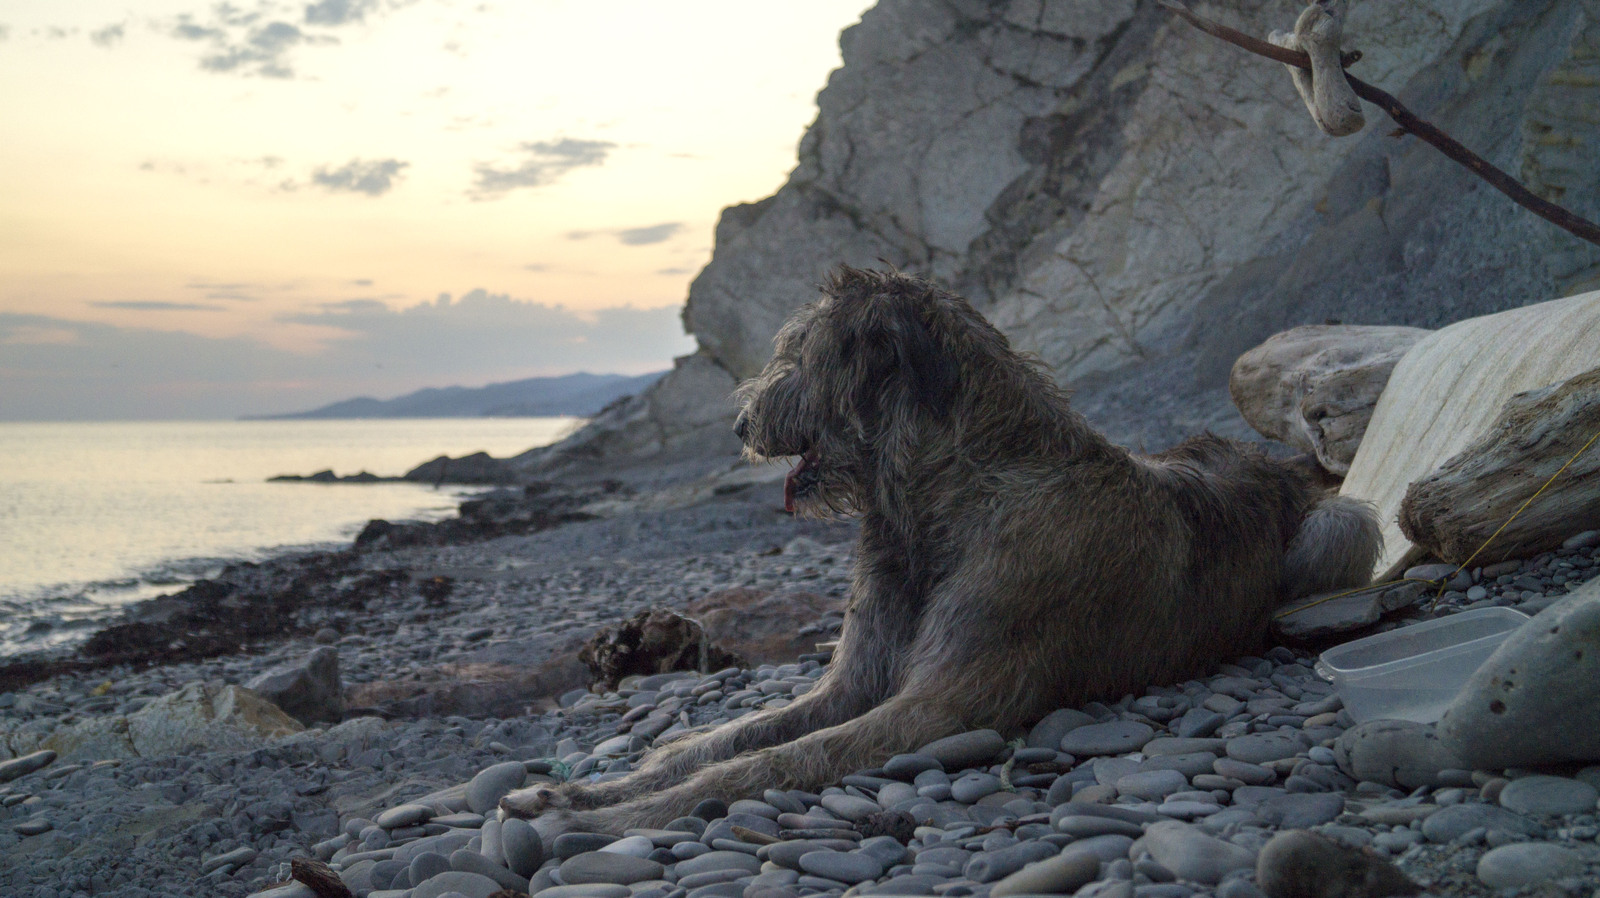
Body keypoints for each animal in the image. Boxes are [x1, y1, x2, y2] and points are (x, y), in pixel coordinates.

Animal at [505, 264, 1382, 832]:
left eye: (796, 354)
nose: (740, 424)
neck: (944, 502)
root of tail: (1270, 462)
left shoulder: (945, 703)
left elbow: (764, 764)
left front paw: (619, 814)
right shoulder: (856, 676)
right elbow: (728, 739)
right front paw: (598, 788)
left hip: (1341, 523)